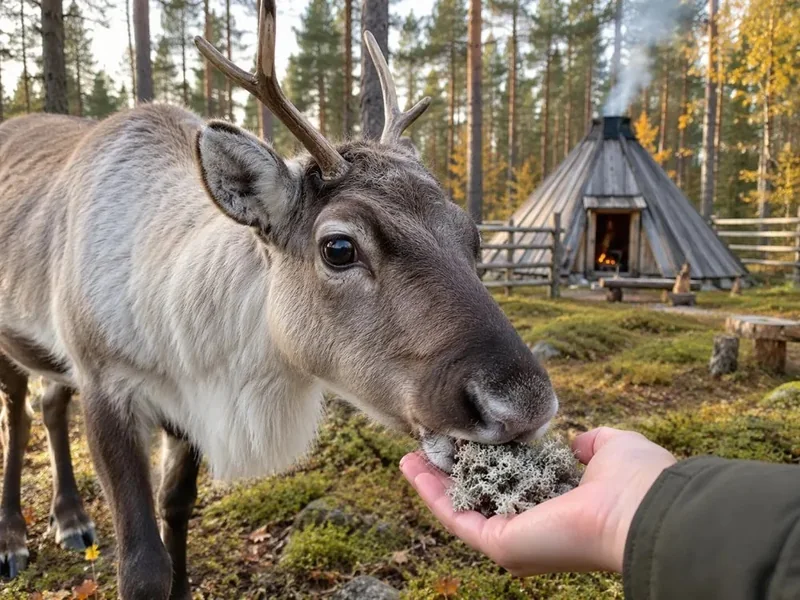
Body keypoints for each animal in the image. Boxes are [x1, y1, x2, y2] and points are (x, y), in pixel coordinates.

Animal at [0, 1, 558, 597]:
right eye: (339, 247)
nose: (525, 405)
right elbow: (143, 566)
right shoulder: (104, 384)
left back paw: (70, 518)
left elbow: (177, 507)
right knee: (18, 415)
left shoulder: (186, 409)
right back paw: (14, 540)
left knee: (49, 402)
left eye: (472, 235)